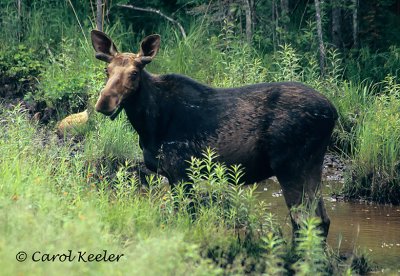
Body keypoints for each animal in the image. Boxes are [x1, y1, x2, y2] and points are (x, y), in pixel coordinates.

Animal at [90, 29, 338, 237]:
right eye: (106, 70)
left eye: (134, 73)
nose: (104, 102)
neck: (148, 124)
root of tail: (333, 112)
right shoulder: (173, 175)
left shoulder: (181, 171)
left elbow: (187, 217)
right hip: (311, 165)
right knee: (322, 220)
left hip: (291, 165)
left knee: (303, 221)